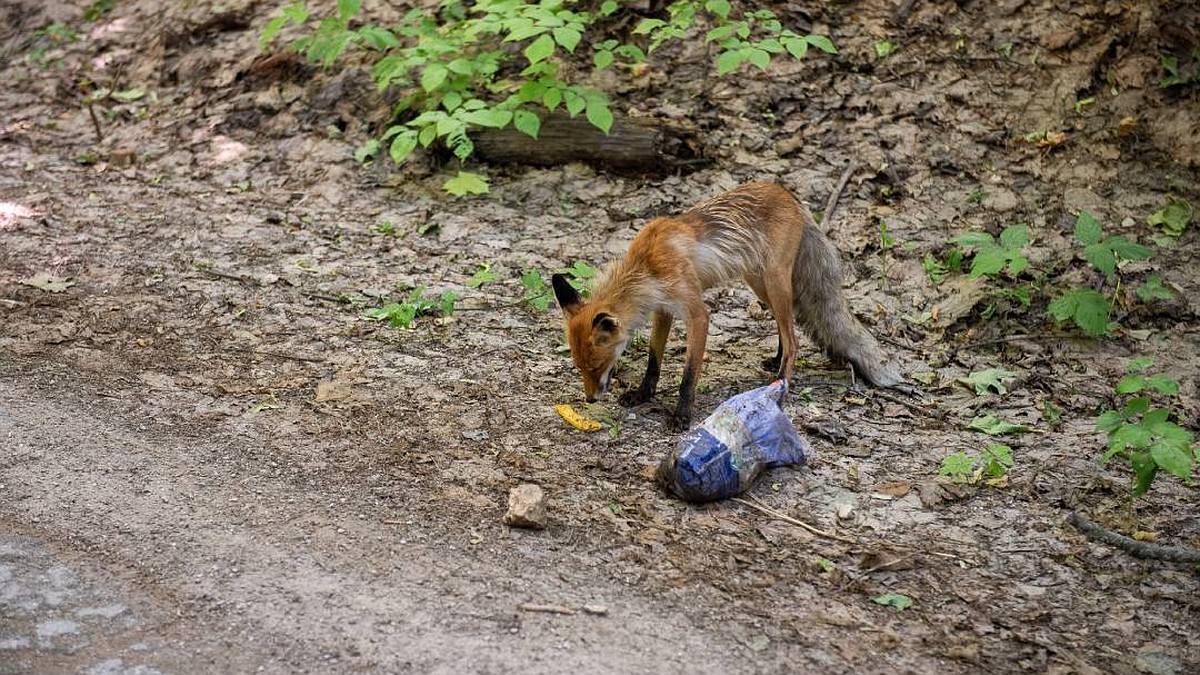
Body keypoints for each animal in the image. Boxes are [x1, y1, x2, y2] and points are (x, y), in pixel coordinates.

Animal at [549, 181, 902, 427]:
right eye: (580, 367)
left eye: (596, 366)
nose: (589, 399)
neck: (647, 266)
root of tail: (791, 195)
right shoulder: (664, 309)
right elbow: (653, 360)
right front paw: (642, 394)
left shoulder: (696, 312)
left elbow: (689, 373)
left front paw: (682, 415)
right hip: (759, 283)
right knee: (784, 325)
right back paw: (774, 362)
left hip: (774, 280)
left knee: (794, 340)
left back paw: (780, 385)